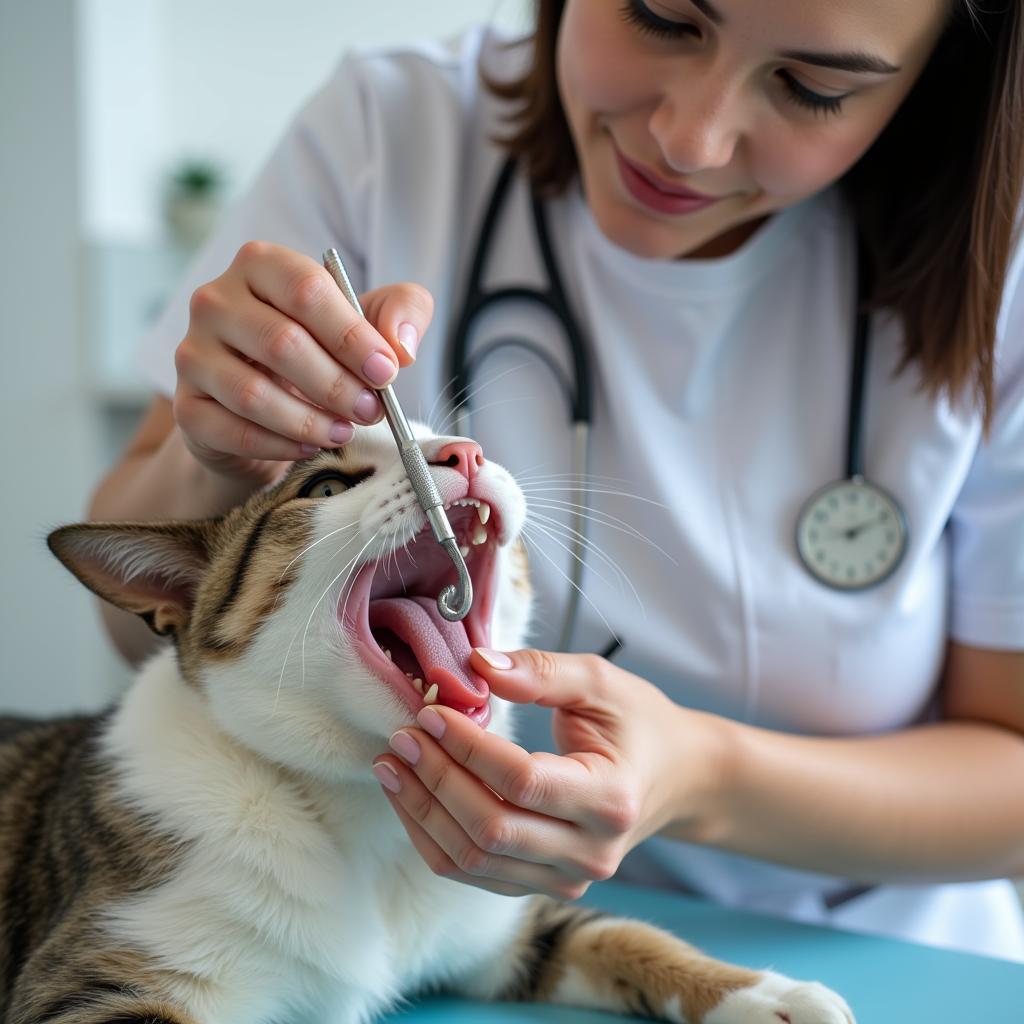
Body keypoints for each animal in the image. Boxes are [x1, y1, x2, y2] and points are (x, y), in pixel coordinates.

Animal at [0, 419, 851, 1019]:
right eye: (323, 485)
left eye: (454, 431)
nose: (466, 453)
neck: (362, 814)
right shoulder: (104, 979)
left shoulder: (503, 928)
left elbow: (618, 932)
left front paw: (765, 993)